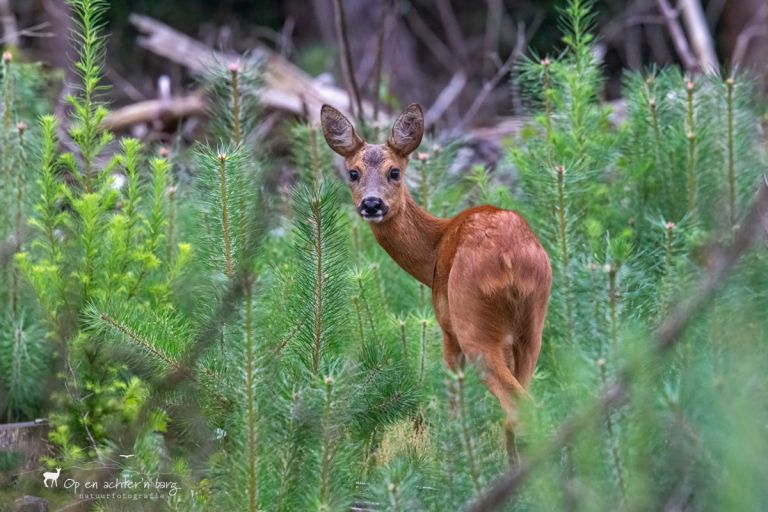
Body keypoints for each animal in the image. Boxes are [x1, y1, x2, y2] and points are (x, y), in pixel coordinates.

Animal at [320, 102, 552, 454]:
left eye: (394, 172)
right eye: (353, 173)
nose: (372, 204)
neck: (435, 247)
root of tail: (510, 262)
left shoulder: (446, 326)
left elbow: (454, 404)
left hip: (472, 321)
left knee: (516, 406)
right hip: (533, 325)